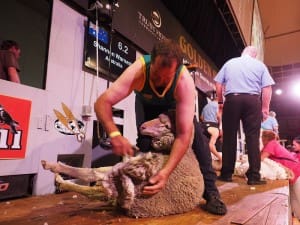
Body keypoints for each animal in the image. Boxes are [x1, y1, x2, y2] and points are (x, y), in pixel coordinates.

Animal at [41, 113, 204, 217]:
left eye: (166, 125)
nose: (142, 126)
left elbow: (92, 173)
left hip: (121, 185)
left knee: (92, 181)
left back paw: (57, 174)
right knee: (97, 175)